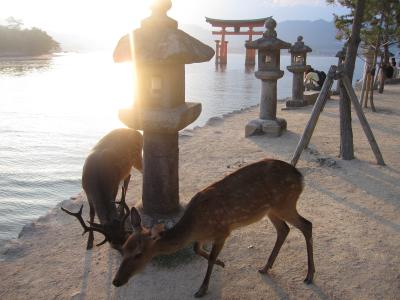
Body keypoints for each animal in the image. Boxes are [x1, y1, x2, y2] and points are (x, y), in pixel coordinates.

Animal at [111, 158, 314, 296]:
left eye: (139, 254)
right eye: (124, 248)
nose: (116, 281)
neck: (195, 226)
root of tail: (301, 177)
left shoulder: (223, 231)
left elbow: (208, 259)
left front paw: (202, 289)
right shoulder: (202, 237)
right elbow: (197, 250)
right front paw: (221, 263)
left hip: (285, 203)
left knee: (307, 225)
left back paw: (309, 275)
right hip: (271, 210)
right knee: (284, 229)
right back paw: (265, 267)